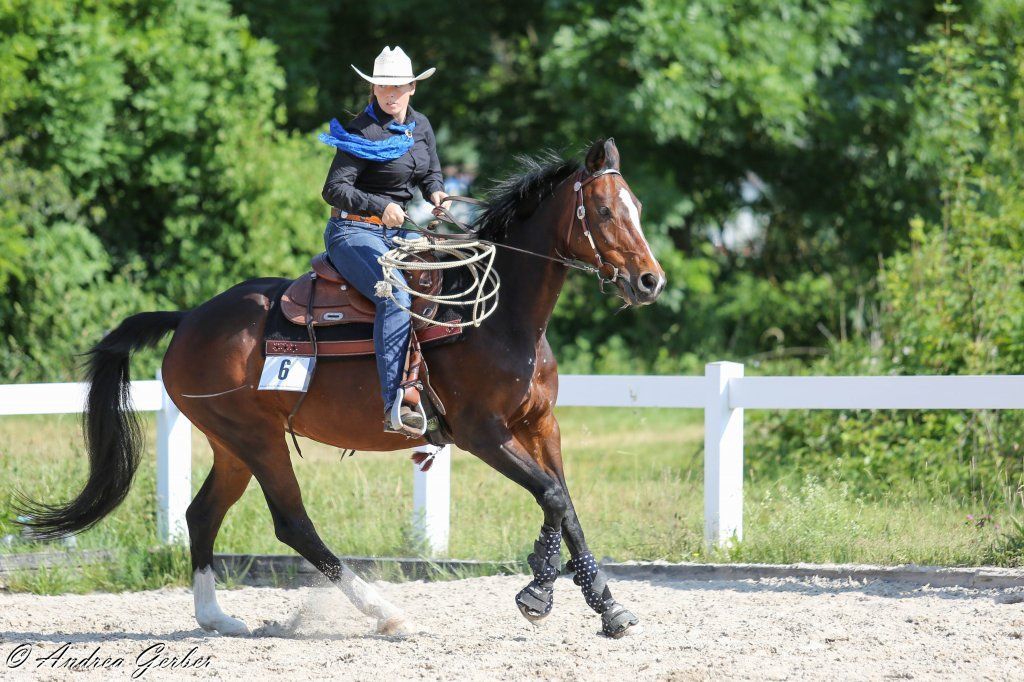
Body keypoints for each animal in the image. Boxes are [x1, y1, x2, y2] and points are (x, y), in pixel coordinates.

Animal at [19, 138, 666, 639]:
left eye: (636, 205)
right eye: (603, 211)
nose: (649, 281)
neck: (499, 318)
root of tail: (188, 318)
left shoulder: (539, 424)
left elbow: (564, 502)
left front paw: (605, 606)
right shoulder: (483, 434)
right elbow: (552, 496)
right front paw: (538, 592)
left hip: (232, 444)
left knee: (202, 514)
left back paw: (215, 618)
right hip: (258, 440)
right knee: (293, 524)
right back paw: (386, 614)